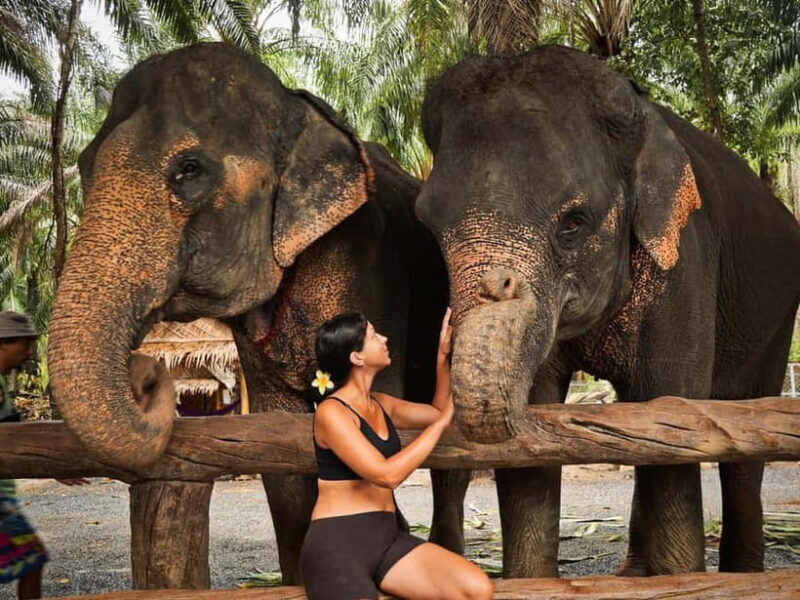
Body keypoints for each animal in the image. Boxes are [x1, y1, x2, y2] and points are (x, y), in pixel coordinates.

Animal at [47, 42, 468, 584]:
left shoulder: (369, 266)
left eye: (189, 169)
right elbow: (280, 451)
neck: (297, 109)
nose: (149, 376)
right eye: (83, 165)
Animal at [416, 45, 800, 577]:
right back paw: (633, 574)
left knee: (745, 434)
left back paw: (740, 575)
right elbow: (540, 431)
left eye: (573, 224)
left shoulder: (686, 262)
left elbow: (672, 409)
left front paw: (680, 579)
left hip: (775, 318)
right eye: (428, 226)